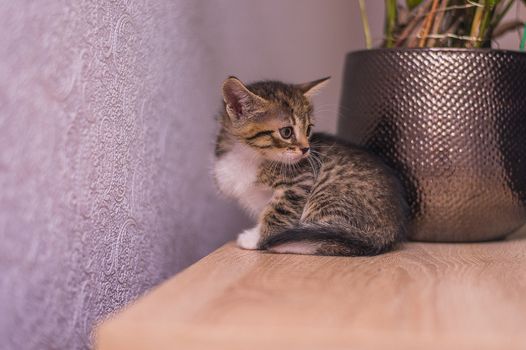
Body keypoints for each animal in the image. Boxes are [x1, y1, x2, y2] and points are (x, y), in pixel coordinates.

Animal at [214, 77, 408, 258]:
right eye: (286, 132)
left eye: (308, 130)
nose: (306, 149)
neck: (249, 155)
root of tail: (389, 231)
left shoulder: (300, 182)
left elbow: (278, 212)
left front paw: (259, 239)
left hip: (330, 194)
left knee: (332, 240)